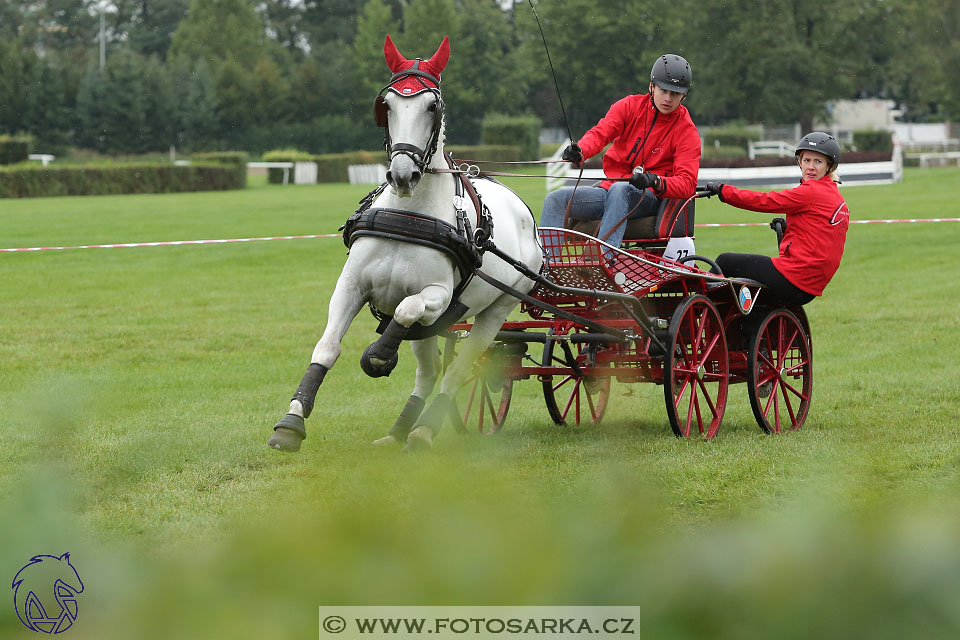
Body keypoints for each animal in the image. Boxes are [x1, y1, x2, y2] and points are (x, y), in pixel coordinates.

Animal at [266, 35, 544, 452]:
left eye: (432, 106)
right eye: (387, 106)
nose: (403, 174)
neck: (411, 217)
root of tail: (522, 209)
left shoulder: (439, 296)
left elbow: (406, 309)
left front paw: (380, 355)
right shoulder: (350, 287)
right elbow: (327, 347)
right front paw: (291, 422)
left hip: (496, 310)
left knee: (457, 369)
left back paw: (424, 429)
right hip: (436, 328)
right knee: (429, 373)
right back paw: (399, 431)